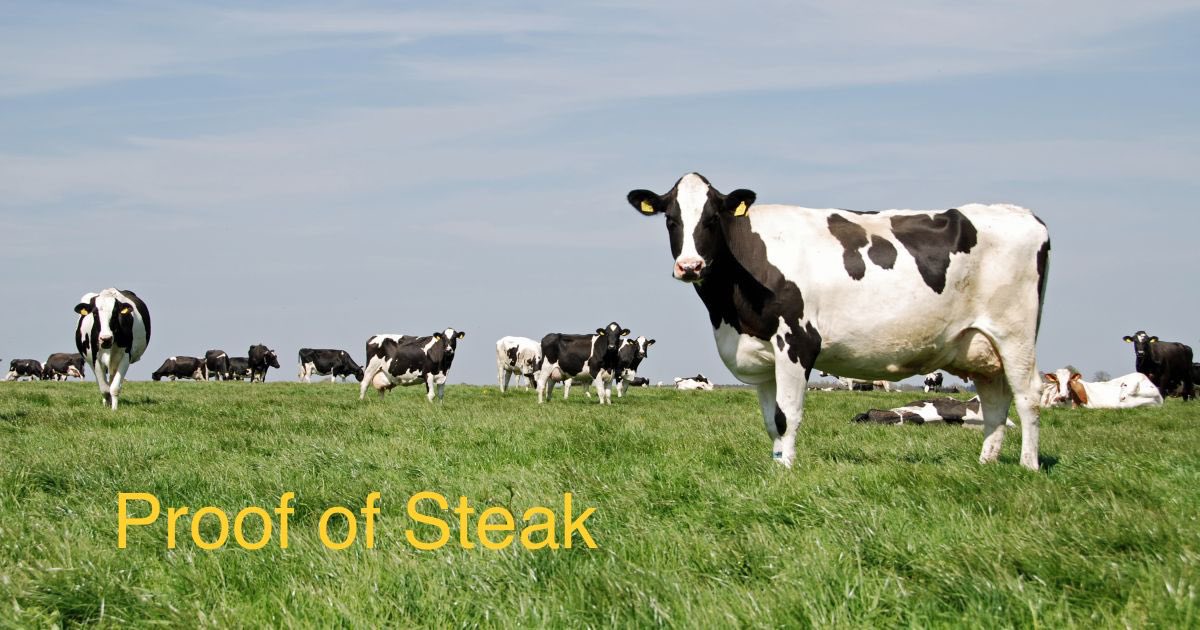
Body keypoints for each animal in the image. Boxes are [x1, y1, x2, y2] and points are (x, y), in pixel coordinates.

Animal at [629, 173, 1049, 469]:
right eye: (670, 219)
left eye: (713, 218)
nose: (690, 266)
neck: (730, 313)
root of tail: (1024, 214)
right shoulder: (761, 356)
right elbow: (771, 420)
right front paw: (776, 466)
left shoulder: (797, 341)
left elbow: (787, 415)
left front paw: (786, 472)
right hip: (981, 347)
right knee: (994, 402)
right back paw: (986, 464)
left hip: (1015, 334)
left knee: (1028, 395)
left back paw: (1027, 466)